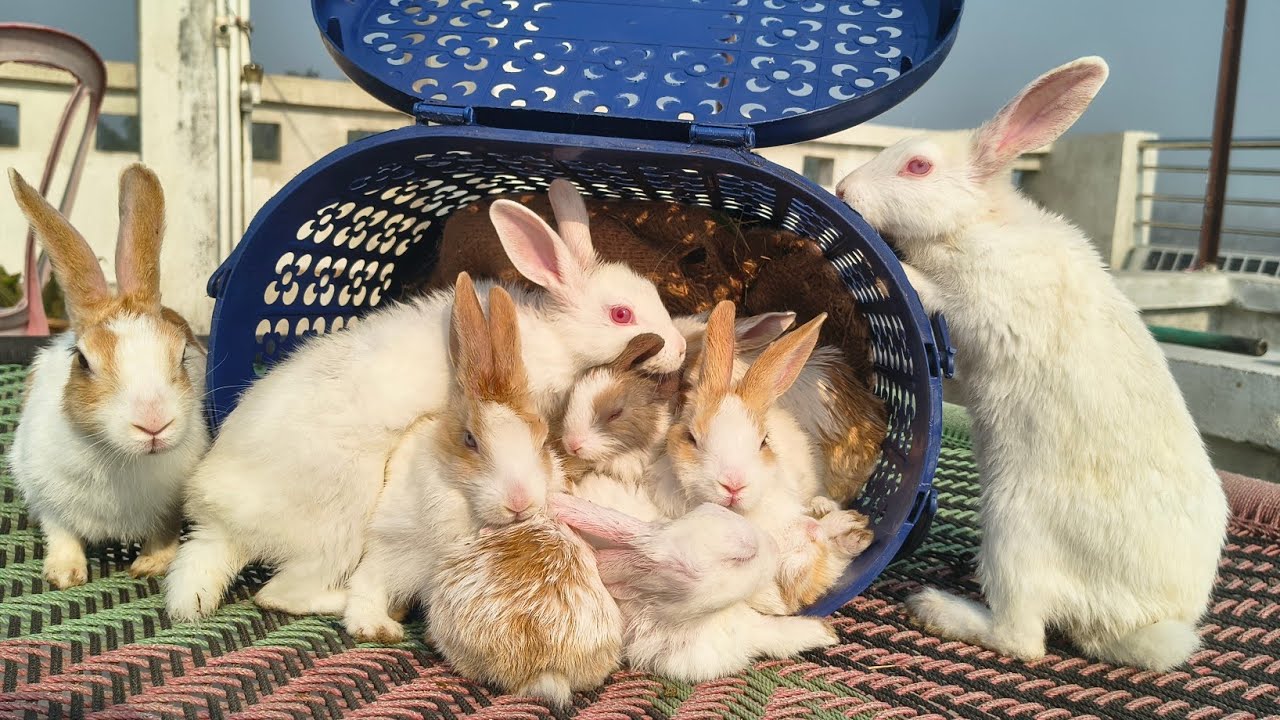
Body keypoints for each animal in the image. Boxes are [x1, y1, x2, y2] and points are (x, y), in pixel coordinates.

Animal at [6, 165, 210, 589]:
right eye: (83, 361)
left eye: (181, 355)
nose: (153, 424)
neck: (119, 458)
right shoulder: (44, 494)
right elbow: (61, 532)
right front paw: (64, 575)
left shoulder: (171, 506)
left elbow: (164, 533)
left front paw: (150, 565)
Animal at [166, 177, 687, 622]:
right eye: (621, 314)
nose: (681, 350)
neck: (556, 337)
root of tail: (216, 521)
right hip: (338, 525)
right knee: (280, 594)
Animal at [833, 56, 1229, 672]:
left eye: (918, 166)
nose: (842, 189)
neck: (975, 224)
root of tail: (1146, 622)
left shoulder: (977, 305)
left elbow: (932, 291)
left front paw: (893, 268)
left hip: (1013, 532)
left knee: (1023, 639)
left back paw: (933, 606)